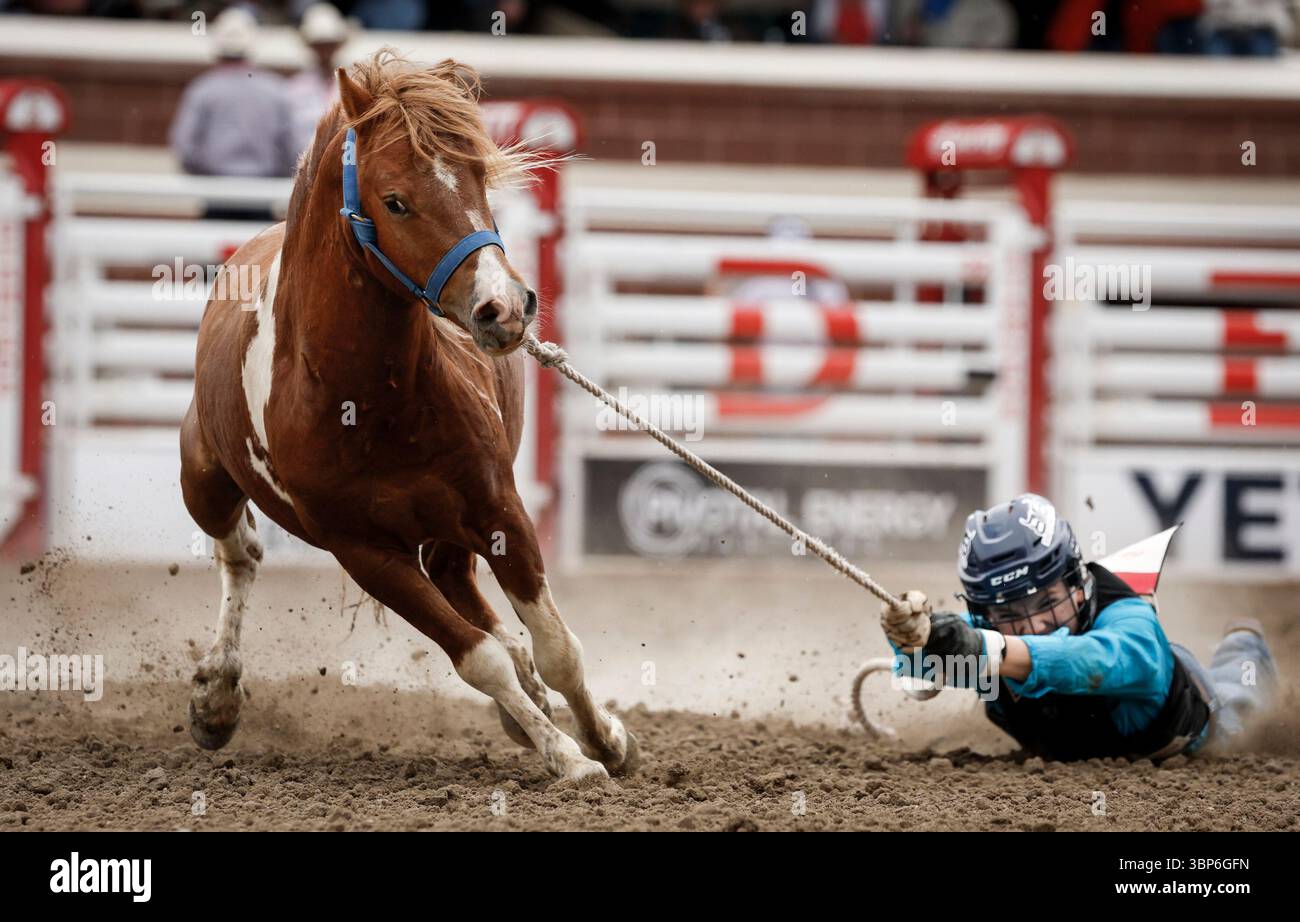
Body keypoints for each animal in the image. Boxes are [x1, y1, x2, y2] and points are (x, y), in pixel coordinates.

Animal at [179, 50, 637, 783]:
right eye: (395, 200)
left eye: (479, 176)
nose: (503, 308)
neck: (369, 400)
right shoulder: (365, 553)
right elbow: (478, 658)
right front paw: (567, 757)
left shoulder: (499, 508)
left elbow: (556, 647)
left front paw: (605, 740)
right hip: (202, 475)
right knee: (239, 552)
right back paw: (217, 695)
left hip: (451, 530)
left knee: (471, 595)